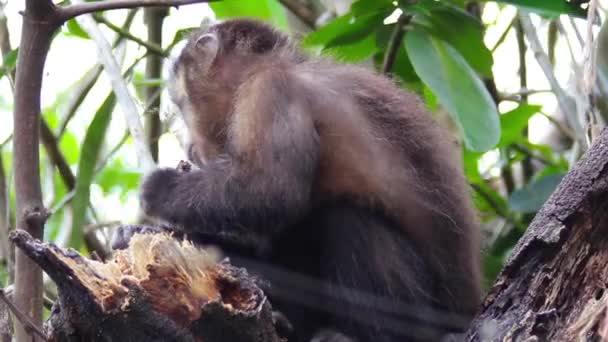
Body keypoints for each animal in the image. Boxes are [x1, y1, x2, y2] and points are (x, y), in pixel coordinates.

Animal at [115, 19, 480, 342]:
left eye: (180, 104)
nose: (190, 145)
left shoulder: (270, 90)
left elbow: (268, 192)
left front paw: (159, 190)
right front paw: (138, 233)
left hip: (425, 315)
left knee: (349, 220)